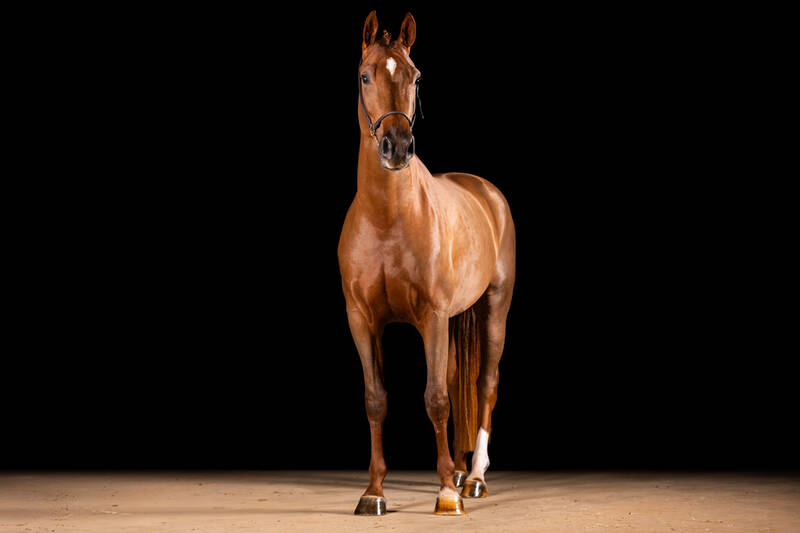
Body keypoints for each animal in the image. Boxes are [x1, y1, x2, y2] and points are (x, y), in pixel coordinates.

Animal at [338, 11, 516, 516]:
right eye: (365, 75)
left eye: (415, 76)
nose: (397, 147)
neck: (387, 219)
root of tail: (485, 191)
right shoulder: (362, 319)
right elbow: (376, 399)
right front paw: (374, 492)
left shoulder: (432, 317)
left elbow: (435, 398)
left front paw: (445, 496)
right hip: (455, 321)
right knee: (458, 380)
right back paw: (456, 468)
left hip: (493, 309)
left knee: (484, 383)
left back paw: (471, 478)